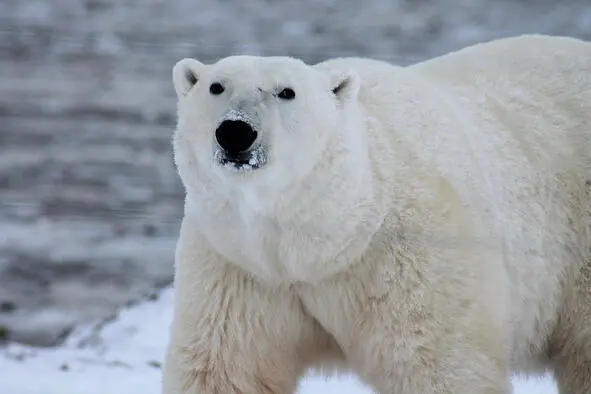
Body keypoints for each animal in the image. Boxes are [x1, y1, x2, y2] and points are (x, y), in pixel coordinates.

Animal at [163, 34, 591, 394]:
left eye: (287, 92)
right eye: (216, 86)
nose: (235, 131)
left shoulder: (410, 257)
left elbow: (437, 365)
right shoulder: (240, 267)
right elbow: (226, 367)